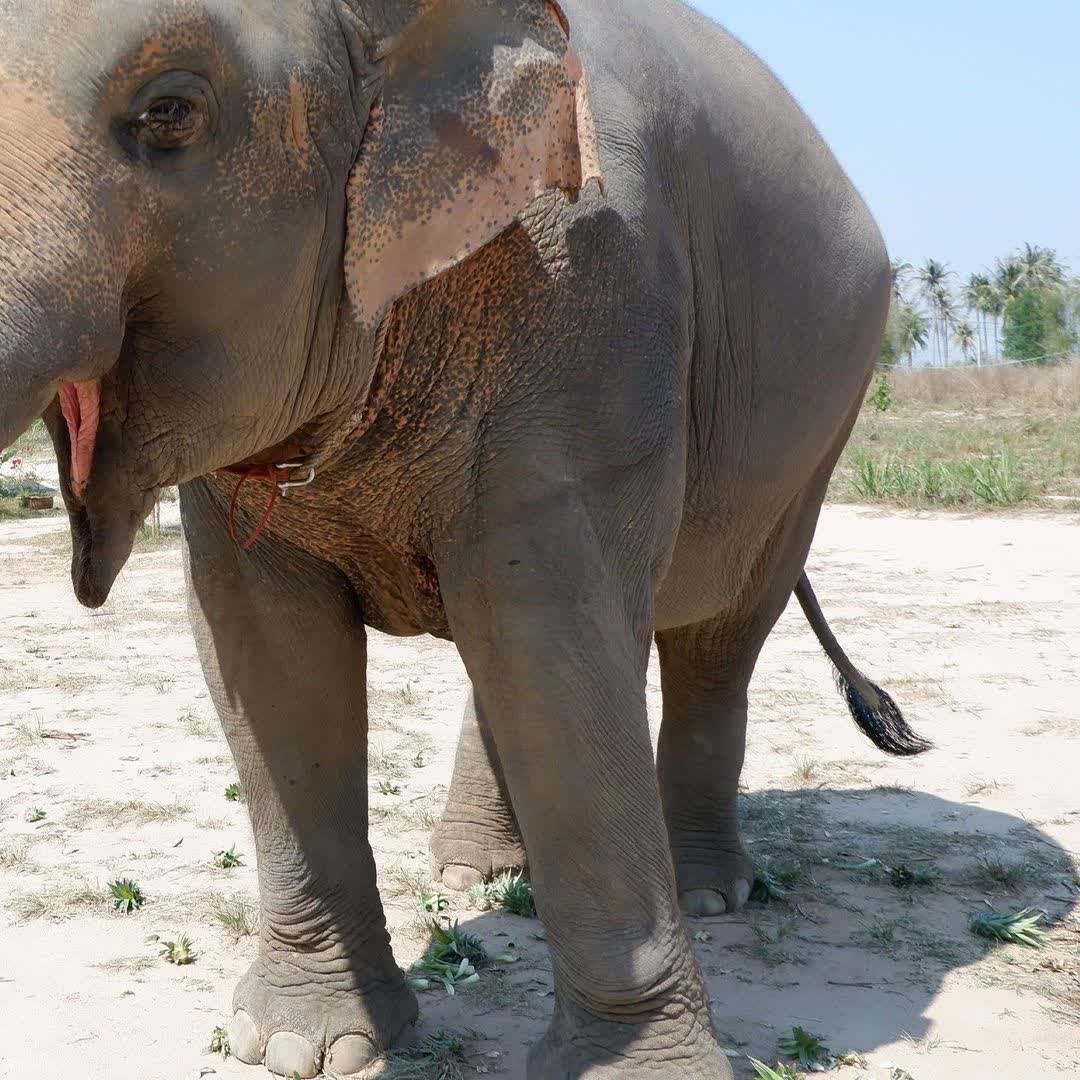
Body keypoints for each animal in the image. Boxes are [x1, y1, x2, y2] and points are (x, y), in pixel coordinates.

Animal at [0, 0, 930, 1076]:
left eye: (170, 112)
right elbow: (269, 655)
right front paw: (302, 1048)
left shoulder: (592, 300)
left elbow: (553, 635)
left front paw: (636, 1070)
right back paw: (478, 875)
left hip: (817, 434)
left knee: (714, 638)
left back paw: (706, 892)